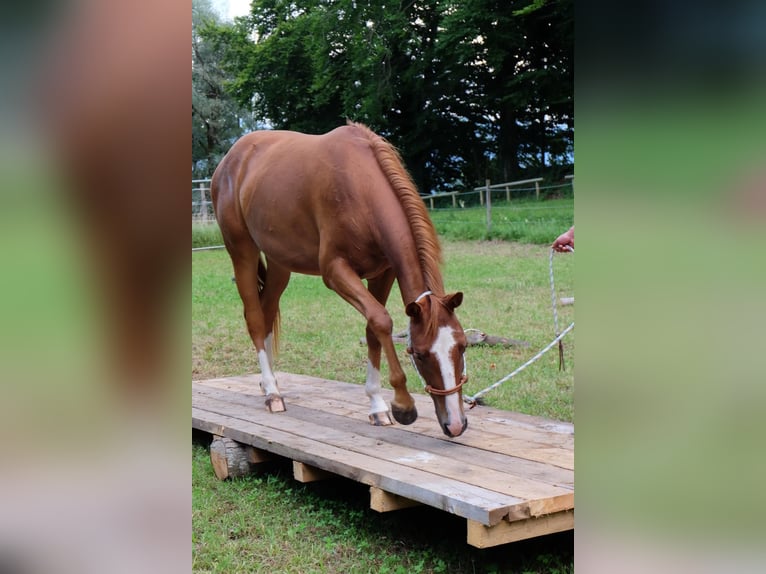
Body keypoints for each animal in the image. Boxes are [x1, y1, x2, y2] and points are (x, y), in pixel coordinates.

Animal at [211, 122, 468, 437]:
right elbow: (381, 320)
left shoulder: (383, 273)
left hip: (280, 263)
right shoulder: (335, 271)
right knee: (256, 318)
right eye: (419, 354)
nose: (455, 424)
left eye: (462, 346)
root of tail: (230, 160)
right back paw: (272, 392)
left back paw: (267, 382)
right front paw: (402, 405)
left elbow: (373, 328)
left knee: (268, 310)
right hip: (242, 252)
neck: (361, 189)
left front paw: (377, 405)